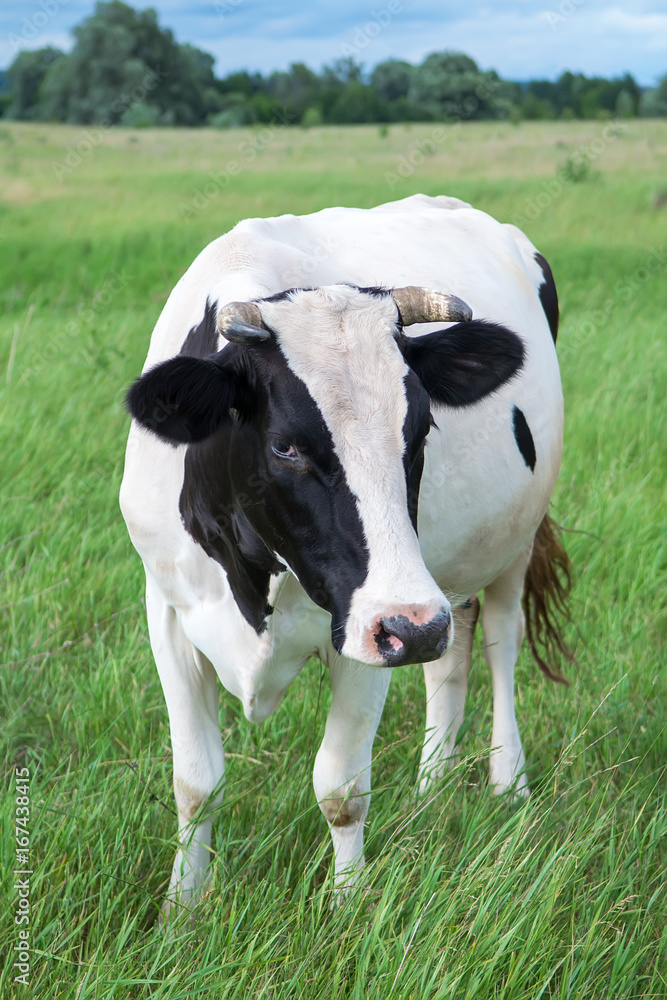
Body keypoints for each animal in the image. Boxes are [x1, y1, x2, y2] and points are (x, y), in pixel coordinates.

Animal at [120, 193, 571, 912]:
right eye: (285, 446)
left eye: (421, 428)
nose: (415, 628)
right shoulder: (166, 607)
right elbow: (196, 782)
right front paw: (182, 908)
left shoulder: (369, 627)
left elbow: (340, 786)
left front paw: (348, 905)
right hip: (438, 584)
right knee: (450, 658)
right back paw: (432, 790)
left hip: (505, 545)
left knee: (501, 641)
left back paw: (508, 784)